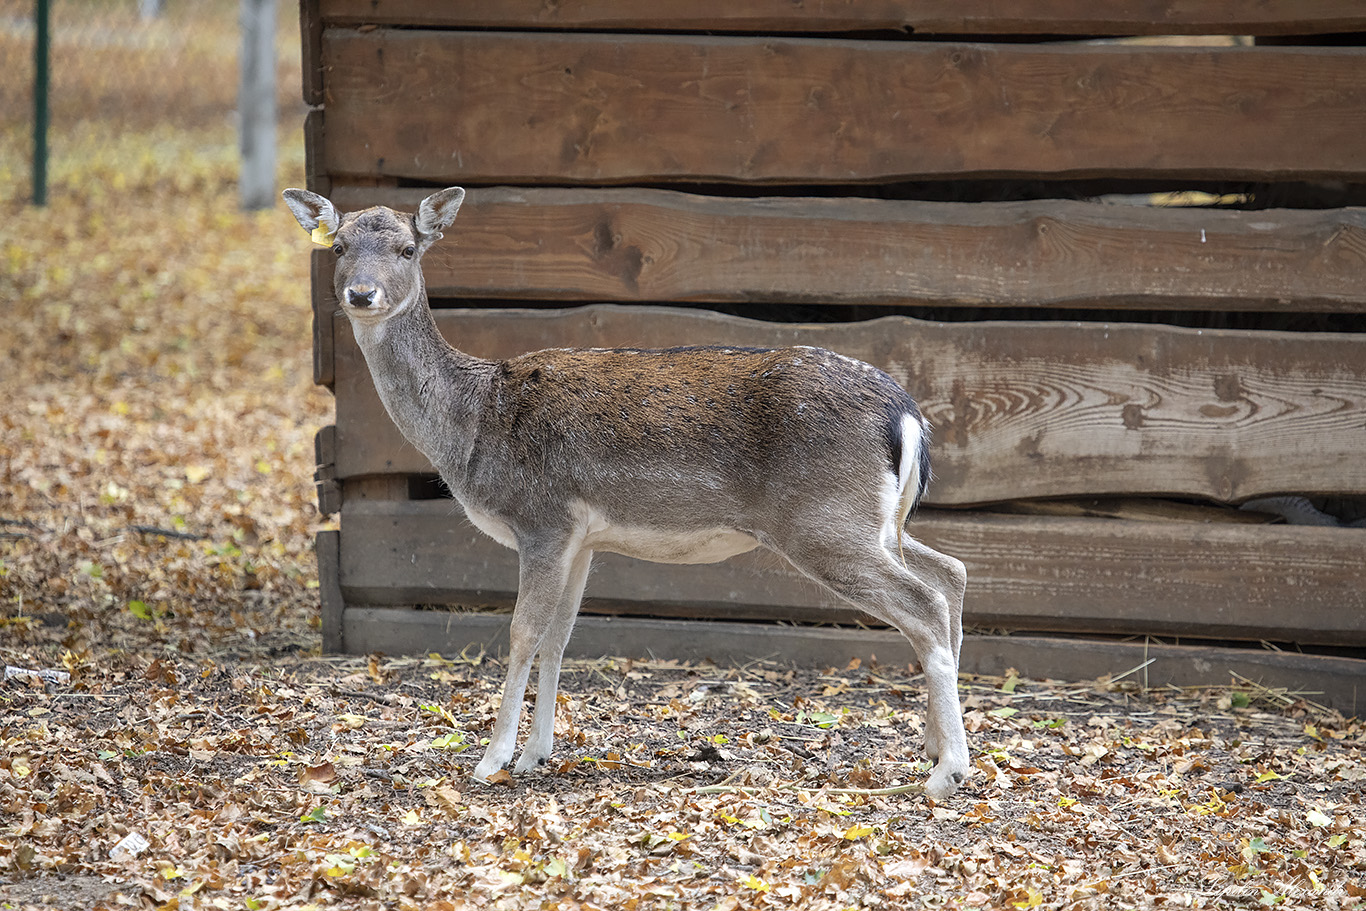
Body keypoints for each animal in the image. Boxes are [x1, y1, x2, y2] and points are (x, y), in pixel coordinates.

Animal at [285, 185, 972, 797]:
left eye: (407, 249)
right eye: (338, 245)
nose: (360, 293)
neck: (474, 423)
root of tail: (906, 413)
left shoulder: (543, 517)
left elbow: (522, 632)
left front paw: (492, 760)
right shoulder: (582, 538)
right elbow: (560, 636)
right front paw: (536, 754)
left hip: (823, 520)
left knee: (924, 603)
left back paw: (947, 772)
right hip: (876, 522)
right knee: (953, 573)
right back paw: (934, 746)